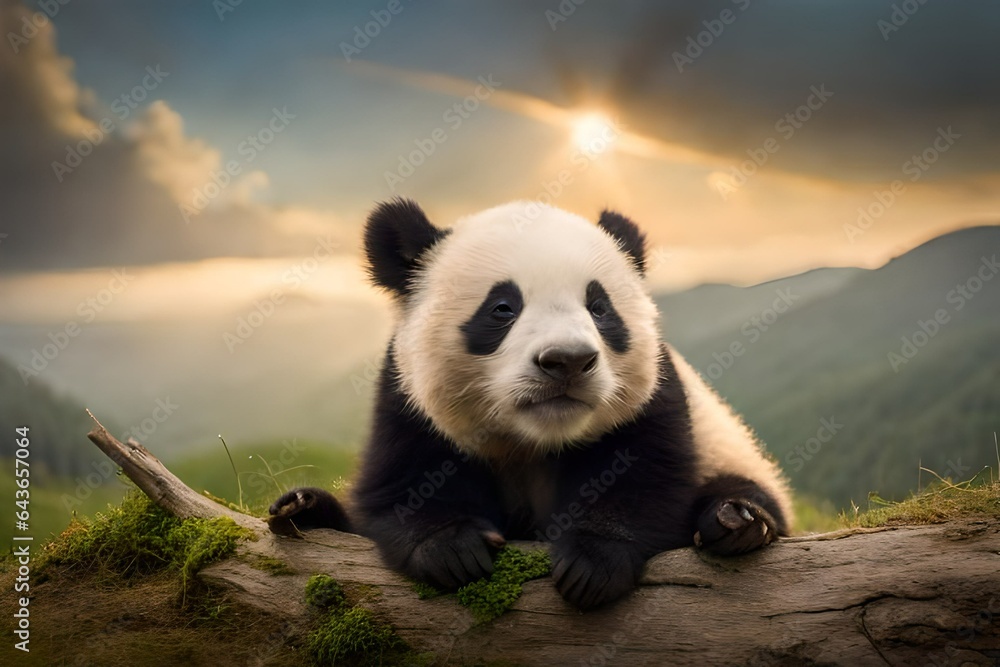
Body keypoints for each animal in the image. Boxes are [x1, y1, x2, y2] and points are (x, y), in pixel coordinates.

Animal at [269, 199, 792, 610]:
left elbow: (643, 472)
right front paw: (453, 550)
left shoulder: (654, 395)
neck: (534, 439)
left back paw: (737, 521)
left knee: (745, 490)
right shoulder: (406, 399)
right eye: (502, 308)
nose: (568, 362)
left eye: (599, 308)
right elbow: (403, 481)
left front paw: (591, 563)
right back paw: (302, 509)